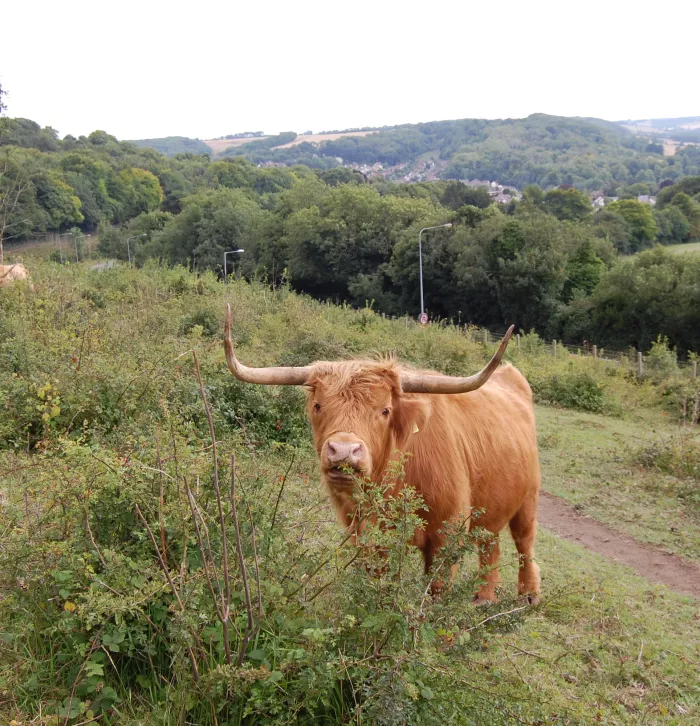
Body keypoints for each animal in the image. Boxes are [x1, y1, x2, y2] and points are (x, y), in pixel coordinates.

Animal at [224, 304, 540, 604]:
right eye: (318, 405)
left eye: (385, 410)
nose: (343, 451)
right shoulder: (364, 534)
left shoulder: (447, 531)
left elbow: (437, 589)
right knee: (491, 544)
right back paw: (484, 597)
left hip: (529, 498)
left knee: (524, 543)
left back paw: (529, 595)